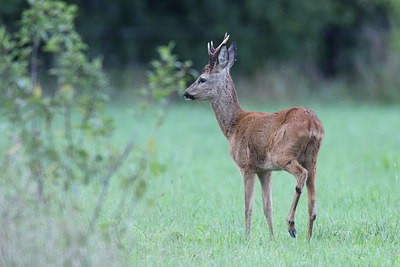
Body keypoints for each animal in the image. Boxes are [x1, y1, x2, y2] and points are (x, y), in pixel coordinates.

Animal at [184, 33, 324, 241]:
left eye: (202, 79)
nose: (186, 93)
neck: (233, 127)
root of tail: (312, 124)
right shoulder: (264, 170)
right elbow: (268, 207)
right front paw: (273, 238)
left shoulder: (246, 166)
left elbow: (248, 207)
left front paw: (247, 237)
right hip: (312, 157)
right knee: (312, 202)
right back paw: (308, 237)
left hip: (282, 153)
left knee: (301, 176)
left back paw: (291, 225)